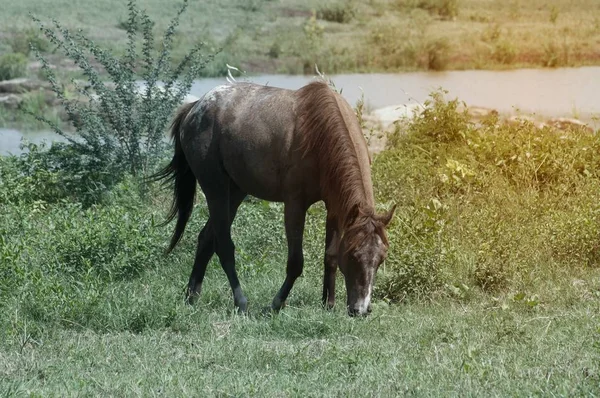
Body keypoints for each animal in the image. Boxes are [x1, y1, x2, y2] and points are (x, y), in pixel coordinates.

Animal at [156, 80, 394, 318]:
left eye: (381, 258)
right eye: (353, 255)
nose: (361, 309)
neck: (319, 133)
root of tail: (195, 108)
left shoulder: (335, 208)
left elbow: (331, 256)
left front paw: (328, 304)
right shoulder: (295, 206)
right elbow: (296, 262)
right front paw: (277, 303)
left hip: (235, 192)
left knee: (206, 239)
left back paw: (192, 296)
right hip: (216, 190)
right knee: (224, 246)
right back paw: (241, 302)